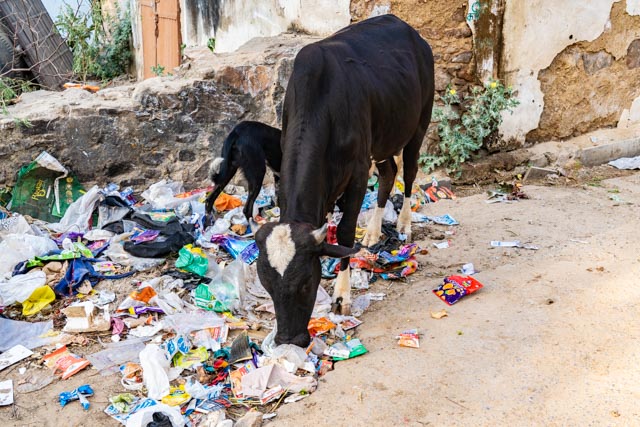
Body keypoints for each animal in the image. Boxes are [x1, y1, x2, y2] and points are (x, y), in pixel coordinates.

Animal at [252, 15, 432, 348]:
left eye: (305, 283)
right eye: (267, 285)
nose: (288, 339)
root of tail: (408, 29)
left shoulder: (358, 172)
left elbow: (346, 235)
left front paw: (340, 297)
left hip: (418, 124)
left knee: (409, 172)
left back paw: (404, 225)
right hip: (382, 139)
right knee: (388, 173)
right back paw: (373, 232)